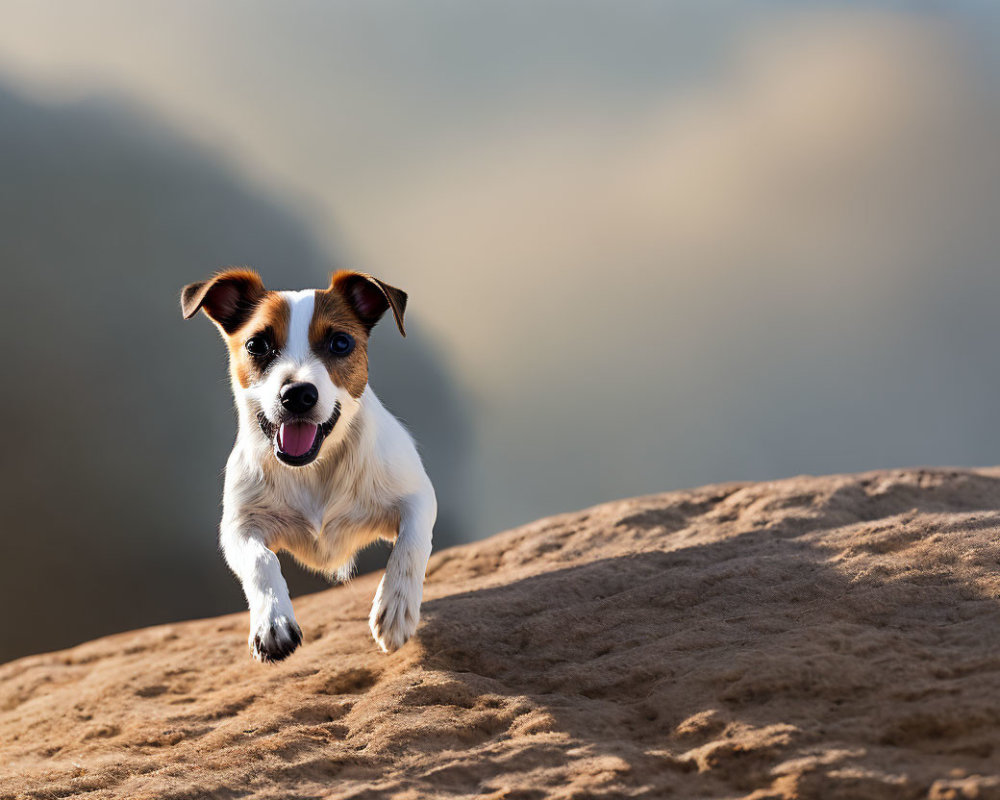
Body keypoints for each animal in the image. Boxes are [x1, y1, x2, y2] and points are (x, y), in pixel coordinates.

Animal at [179, 268, 434, 664]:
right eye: (257, 345)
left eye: (341, 343)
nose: (297, 394)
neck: (313, 469)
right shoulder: (239, 526)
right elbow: (261, 560)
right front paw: (272, 623)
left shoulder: (418, 497)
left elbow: (411, 545)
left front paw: (396, 607)